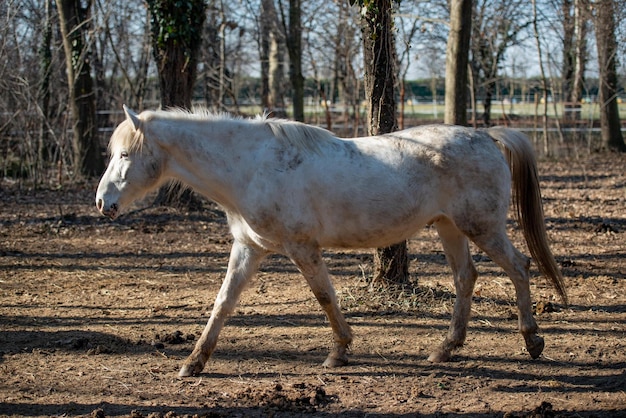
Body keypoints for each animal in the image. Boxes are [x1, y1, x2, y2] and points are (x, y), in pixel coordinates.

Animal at [94, 106, 564, 378]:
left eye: (124, 155)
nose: (102, 203)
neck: (251, 166)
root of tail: (486, 135)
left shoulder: (302, 247)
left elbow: (324, 296)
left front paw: (339, 352)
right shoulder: (249, 248)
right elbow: (224, 303)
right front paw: (193, 362)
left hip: (480, 227)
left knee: (519, 267)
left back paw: (532, 340)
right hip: (449, 227)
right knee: (466, 278)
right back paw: (445, 349)